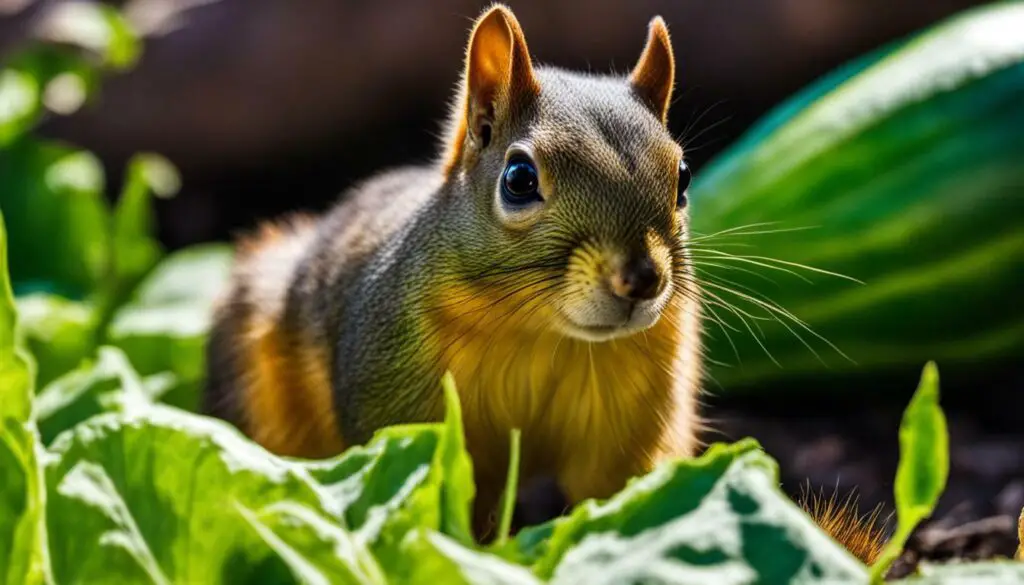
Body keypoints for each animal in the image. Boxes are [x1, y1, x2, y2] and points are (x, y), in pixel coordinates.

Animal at [201, 2, 888, 565]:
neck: (541, 334)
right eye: (519, 180)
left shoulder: (632, 424)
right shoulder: (396, 402)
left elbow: (611, 494)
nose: (642, 279)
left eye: (684, 177)